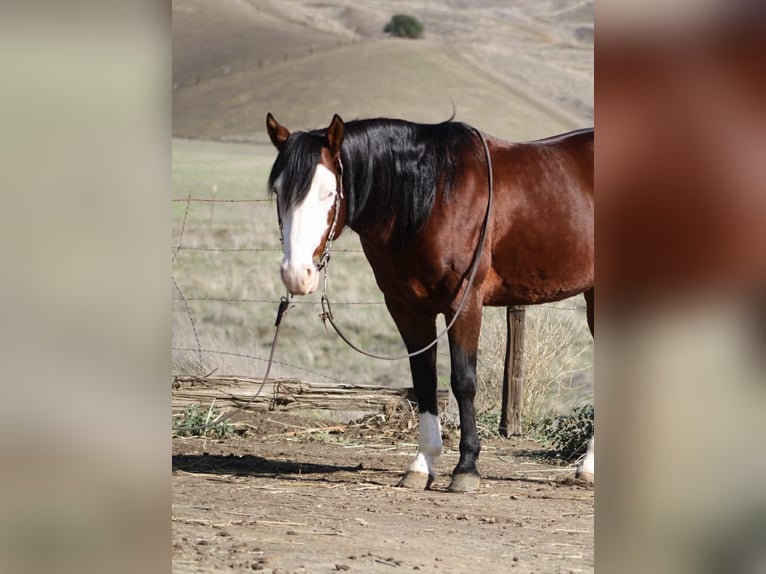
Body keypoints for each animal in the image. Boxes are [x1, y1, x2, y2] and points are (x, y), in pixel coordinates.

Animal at [266, 113, 594, 492]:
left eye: (329, 192)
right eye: (278, 191)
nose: (296, 274)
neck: (434, 198)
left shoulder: (464, 304)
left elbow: (463, 382)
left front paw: (466, 468)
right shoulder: (408, 309)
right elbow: (424, 382)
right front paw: (422, 464)